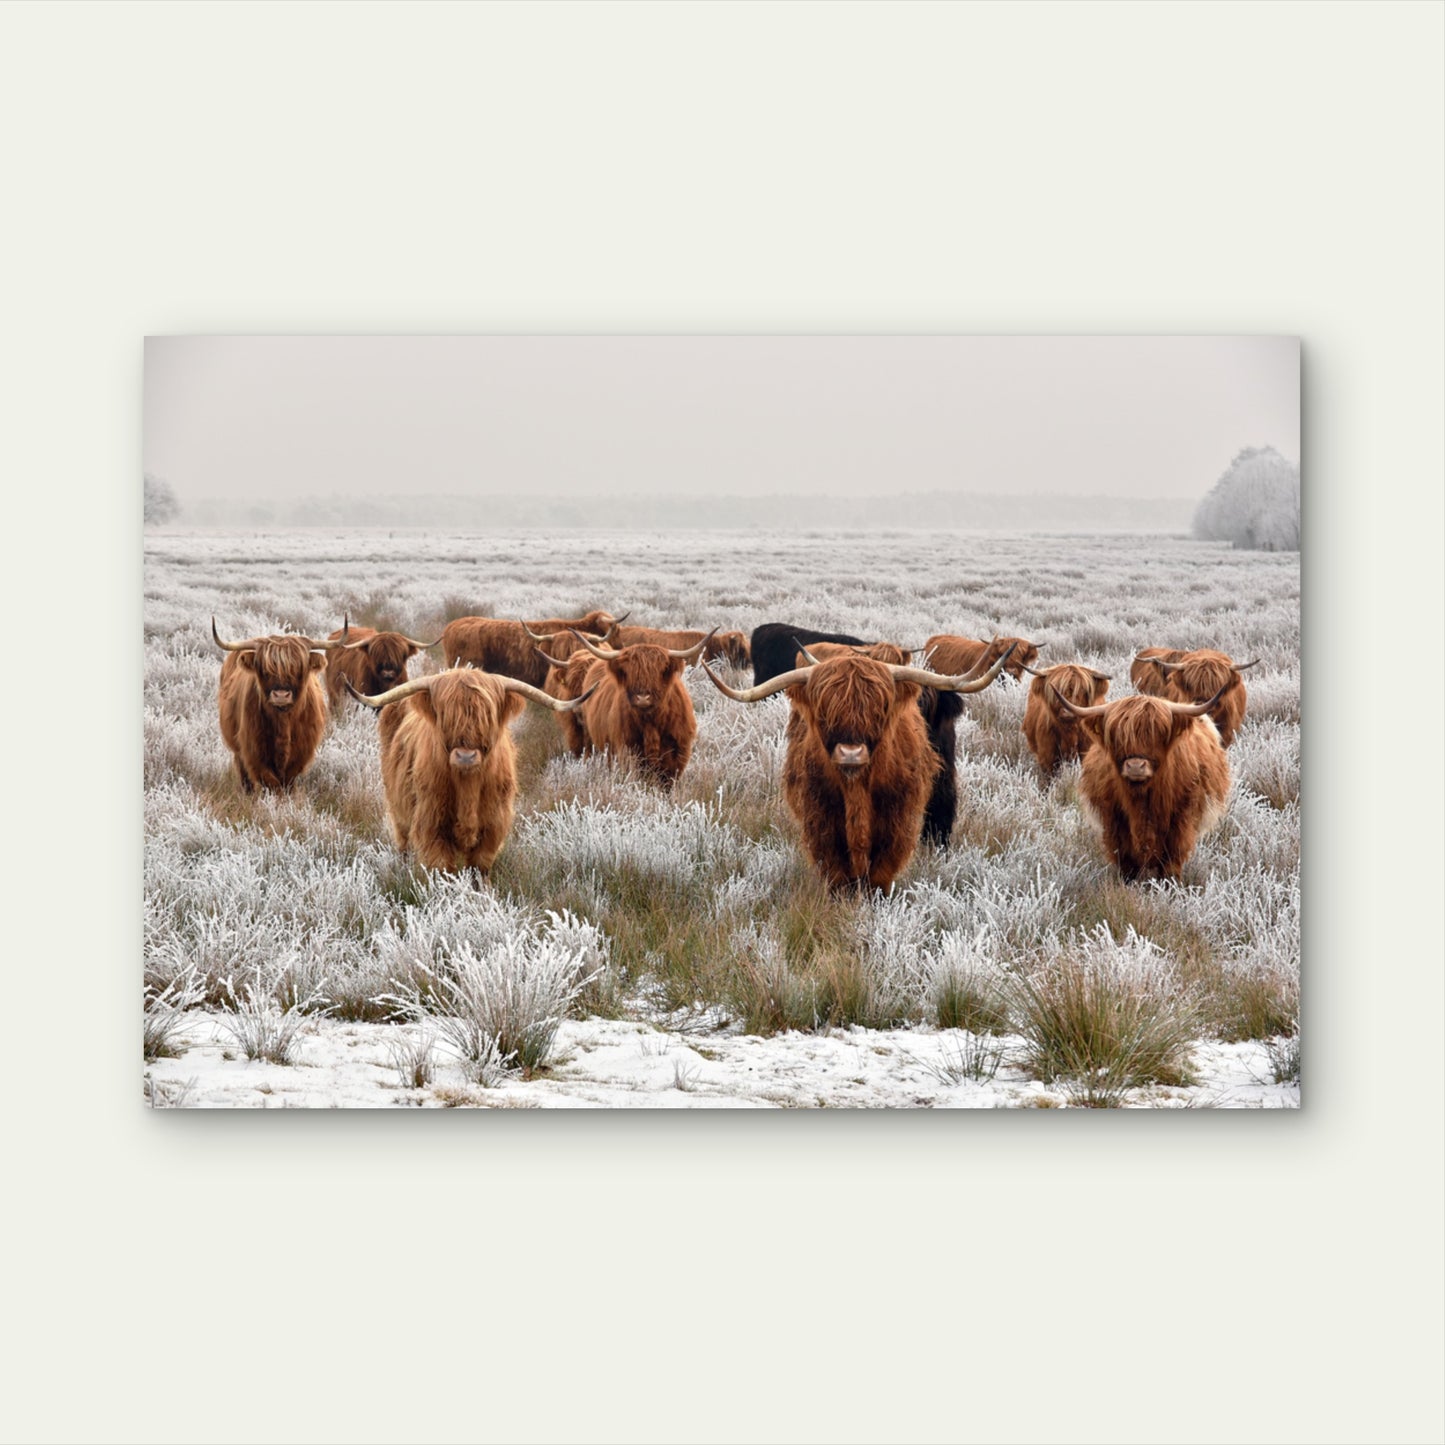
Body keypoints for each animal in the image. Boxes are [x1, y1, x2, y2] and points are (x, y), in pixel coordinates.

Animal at [212, 618, 350, 792]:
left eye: (299, 669)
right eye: (265, 669)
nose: (281, 695)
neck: (283, 722)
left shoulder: (300, 756)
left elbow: (286, 784)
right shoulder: (254, 752)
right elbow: (271, 783)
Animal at [345, 668, 594, 874]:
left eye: (487, 716)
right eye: (446, 715)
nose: (466, 756)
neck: (467, 787)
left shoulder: (493, 825)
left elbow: (479, 867)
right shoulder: (431, 824)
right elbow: (442, 869)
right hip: (398, 810)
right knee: (403, 841)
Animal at [561, 628, 717, 786]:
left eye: (658, 671)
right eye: (630, 672)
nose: (642, 698)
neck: (650, 723)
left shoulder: (676, 756)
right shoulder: (627, 751)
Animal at [702, 645, 1013, 890]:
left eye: (880, 709)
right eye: (824, 712)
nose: (851, 753)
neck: (857, 790)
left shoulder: (897, 821)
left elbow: (880, 872)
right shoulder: (821, 819)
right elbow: (838, 872)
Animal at [1050, 687, 1232, 881]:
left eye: (1159, 733)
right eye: (1117, 736)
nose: (1135, 766)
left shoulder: (1181, 821)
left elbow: (1171, 862)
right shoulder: (1114, 822)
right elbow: (1126, 861)